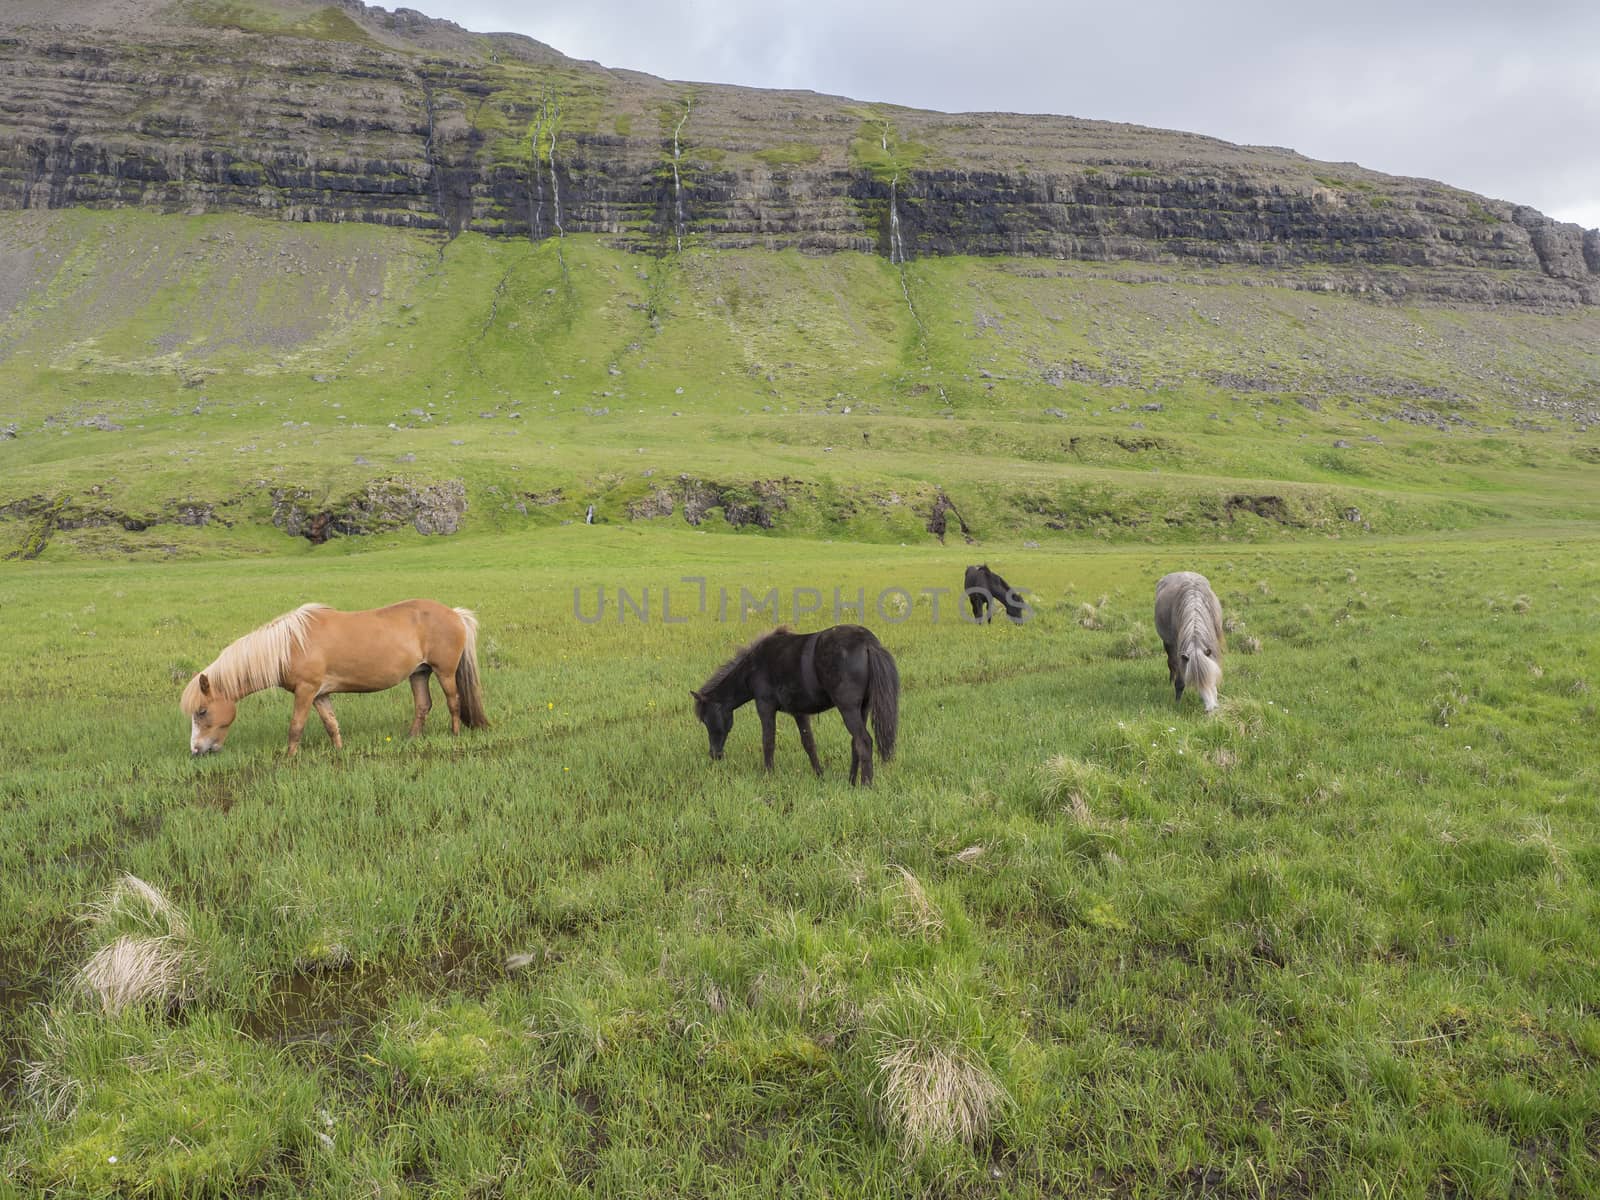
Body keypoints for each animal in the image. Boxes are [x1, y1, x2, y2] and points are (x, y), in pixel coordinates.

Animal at [179, 598, 483, 755]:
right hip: (419, 673)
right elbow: (331, 724)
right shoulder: (320, 694)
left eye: (202, 711)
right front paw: (338, 751)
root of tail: (456, 614)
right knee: (422, 706)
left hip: (444, 672)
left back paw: (455, 735)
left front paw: (289, 759)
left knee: (453, 702)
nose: (196, 749)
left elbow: (296, 727)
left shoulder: (306, 691)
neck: (290, 644)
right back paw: (411, 739)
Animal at [691, 630, 902, 790]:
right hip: (863, 709)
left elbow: (768, 742)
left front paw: (768, 776)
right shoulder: (799, 712)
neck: (754, 666)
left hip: (848, 709)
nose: (714, 754)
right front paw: (819, 775)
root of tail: (868, 643)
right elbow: (809, 743)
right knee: (855, 743)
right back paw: (851, 782)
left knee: (863, 742)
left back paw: (866, 786)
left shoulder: (765, 706)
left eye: (707, 720)